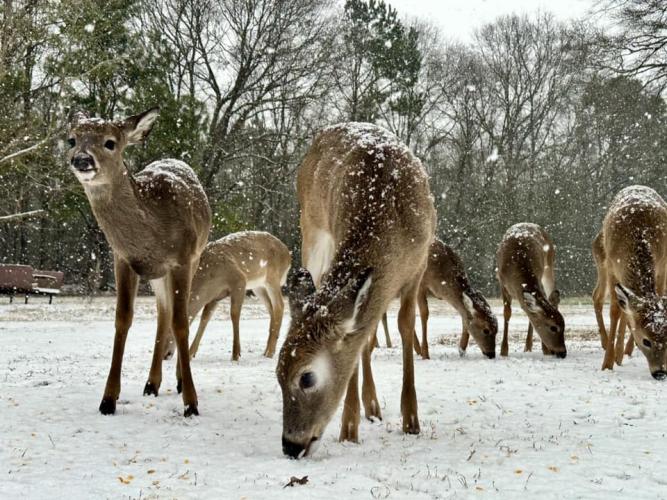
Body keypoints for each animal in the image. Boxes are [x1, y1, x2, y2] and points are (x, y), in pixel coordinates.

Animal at [67, 108, 211, 417]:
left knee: (177, 313)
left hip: (193, 258)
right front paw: (108, 400)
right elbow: (123, 318)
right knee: (163, 313)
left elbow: (182, 323)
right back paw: (151, 384)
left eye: (110, 142)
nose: (82, 159)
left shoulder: (182, 259)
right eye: (72, 139)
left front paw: (191, 403)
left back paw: (177, 382)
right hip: (157, 275)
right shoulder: (121, 258)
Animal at [184, 230, 291, 361]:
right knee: (271, 309)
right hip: (258, 286)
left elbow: (234, 314)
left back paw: (270, 352)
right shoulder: (215, 296)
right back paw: (267, 351)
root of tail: (288, 255)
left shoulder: (239, 280)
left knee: (279, 306)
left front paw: (236, 354)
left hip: (272, 278)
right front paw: (191, 353)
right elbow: (205, 318)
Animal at [276, 122, 436, 458]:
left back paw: (373, 406)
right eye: (277, 375)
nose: (290, 445)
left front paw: (411, 420)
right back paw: (366, 406)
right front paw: (348, 429)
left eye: (306, 377)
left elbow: (405, 326)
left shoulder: (419, 265)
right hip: (311, 232)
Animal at [496, 223, 566, 358]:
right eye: (553, 327)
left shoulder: (538, 278)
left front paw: (545, 349)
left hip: (549, 266)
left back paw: (530, 347)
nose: (562, 352)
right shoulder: (502, 282)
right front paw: (503, 351)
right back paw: (527, 347)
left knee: (552, 297)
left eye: (564, 325)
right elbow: (507, 312)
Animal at [599, 185, 667, 379]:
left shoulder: (661, 265)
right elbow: (615, 311)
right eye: (646, 341)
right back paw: (618, 354)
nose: (660, 372)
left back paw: (624, 351)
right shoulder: (612, 266)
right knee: (623, 309)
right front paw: (607, 364)